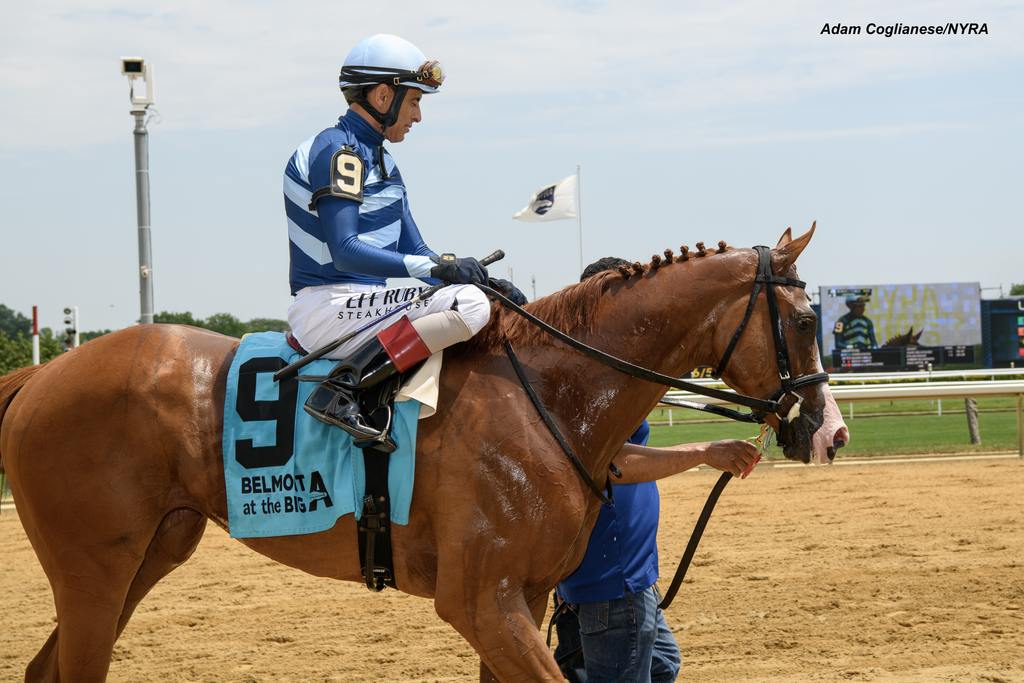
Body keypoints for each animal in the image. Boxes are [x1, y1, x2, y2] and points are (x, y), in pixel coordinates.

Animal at [2, 227, 847, 679]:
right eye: (807, 320)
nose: (830, 430)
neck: (549, 390)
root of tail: (41, 373)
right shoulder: (481, 602)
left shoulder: (522, 598)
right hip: (94, 572)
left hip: (148, 554)